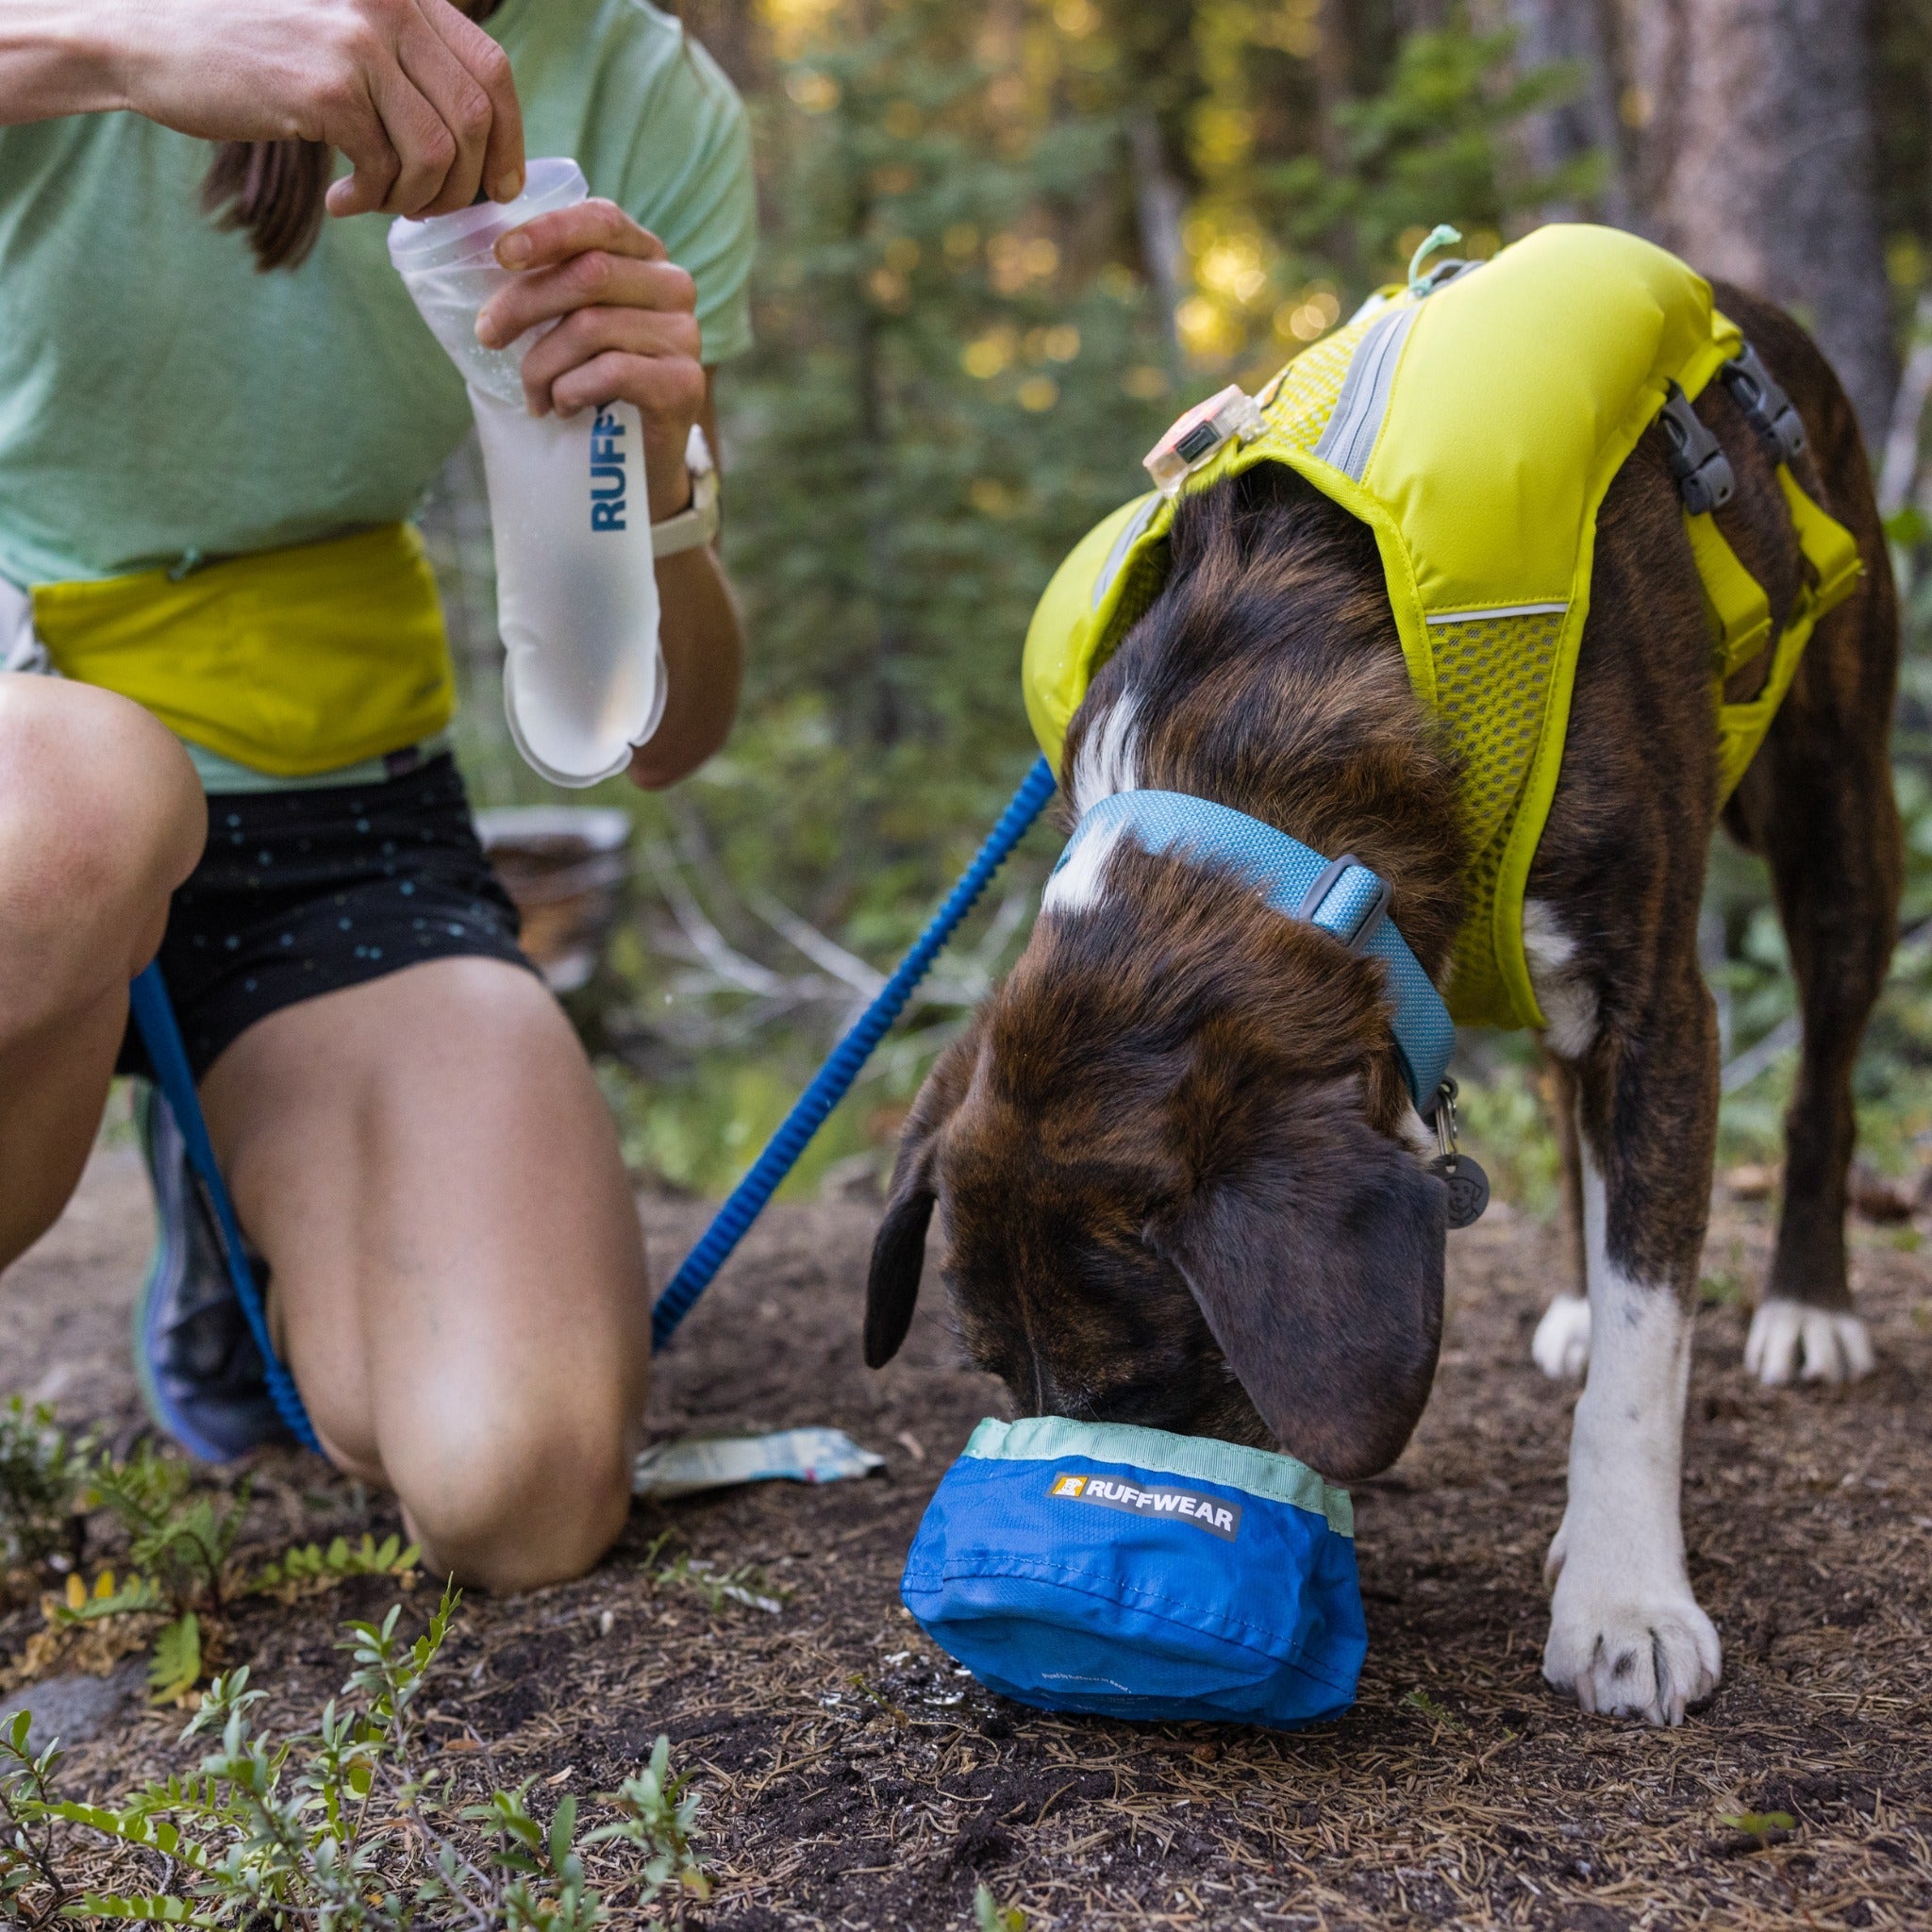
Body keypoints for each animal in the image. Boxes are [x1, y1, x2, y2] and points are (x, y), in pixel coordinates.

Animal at [865, 282, 1901, 1723]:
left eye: (1162, 1378)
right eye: (990, 1373)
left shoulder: (1657, 1011)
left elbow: (1648, 1345)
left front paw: (1625, 1598)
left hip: (1836, 805)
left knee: (1819, 1083)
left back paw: (1808, 1306)